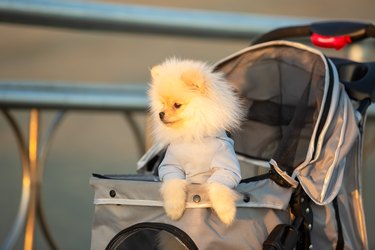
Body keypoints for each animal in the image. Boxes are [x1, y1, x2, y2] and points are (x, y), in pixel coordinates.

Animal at [148, 58, 245, 225]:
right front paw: (174, 209)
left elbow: (218, 186)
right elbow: (174, 185)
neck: (194, 135)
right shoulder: (171, 166)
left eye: (177, 105)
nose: (160, 114)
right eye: (162, 104)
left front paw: (226, 213)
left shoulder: (226, 169)